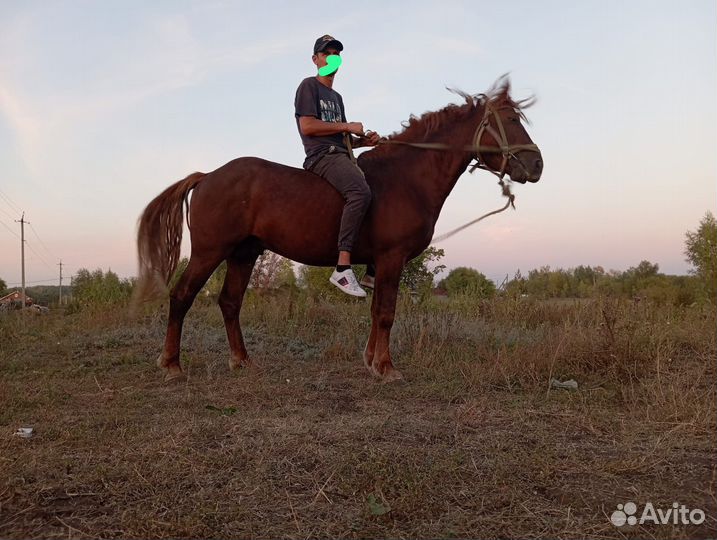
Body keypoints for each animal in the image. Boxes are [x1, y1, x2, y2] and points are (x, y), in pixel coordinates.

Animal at [133, 76, 543, 383]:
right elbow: (386, 312)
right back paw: (172, 364)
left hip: (243, 254)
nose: (537, 164)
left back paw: (241, 360)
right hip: (209, 252)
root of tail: (207, 176)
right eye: (510, 120)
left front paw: (372, 361)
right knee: (182, 296)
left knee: (230, 302)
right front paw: (386, 367)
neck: (406, 177)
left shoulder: (381, 263)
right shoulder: (392, 258)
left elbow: (376, 310)